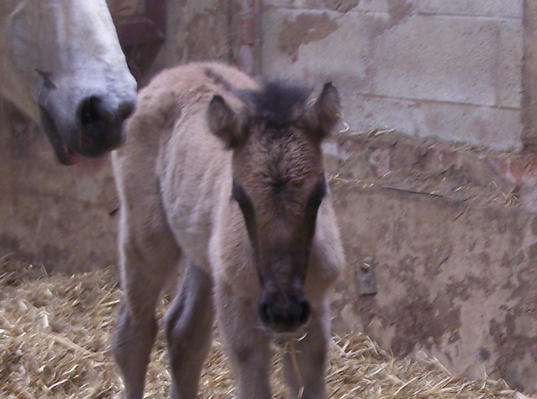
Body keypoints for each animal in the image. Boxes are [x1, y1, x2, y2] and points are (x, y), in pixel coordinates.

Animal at [111, 62, 346, 399]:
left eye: (318, 195)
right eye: (240, 197)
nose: (283, 311)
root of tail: (177, 70)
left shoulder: (313, 308)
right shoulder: (238, 311)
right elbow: (253, 384)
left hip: (203, 256)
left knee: (183, 334)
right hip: (146, 238)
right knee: (133, 333)